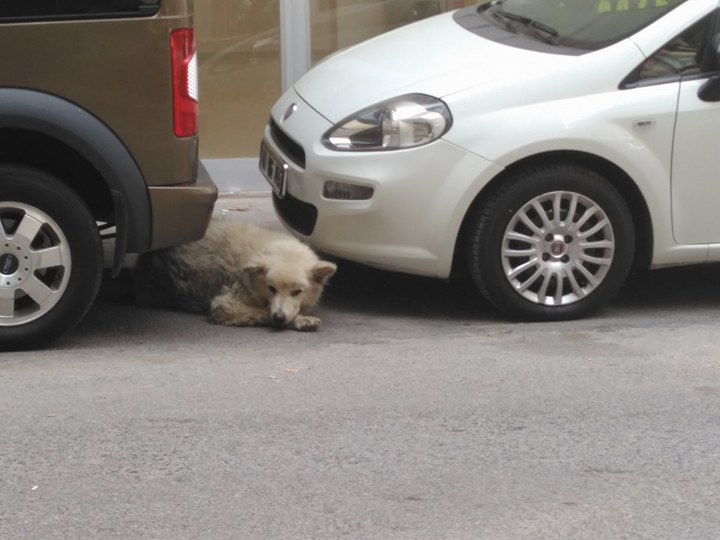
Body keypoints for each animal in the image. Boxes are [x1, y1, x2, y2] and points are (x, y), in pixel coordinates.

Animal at [133, 218, 338, 330]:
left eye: (297, 292)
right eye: (271, 288)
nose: (279, 318)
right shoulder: (225, 305)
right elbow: (261, 311)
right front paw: (300, 320)